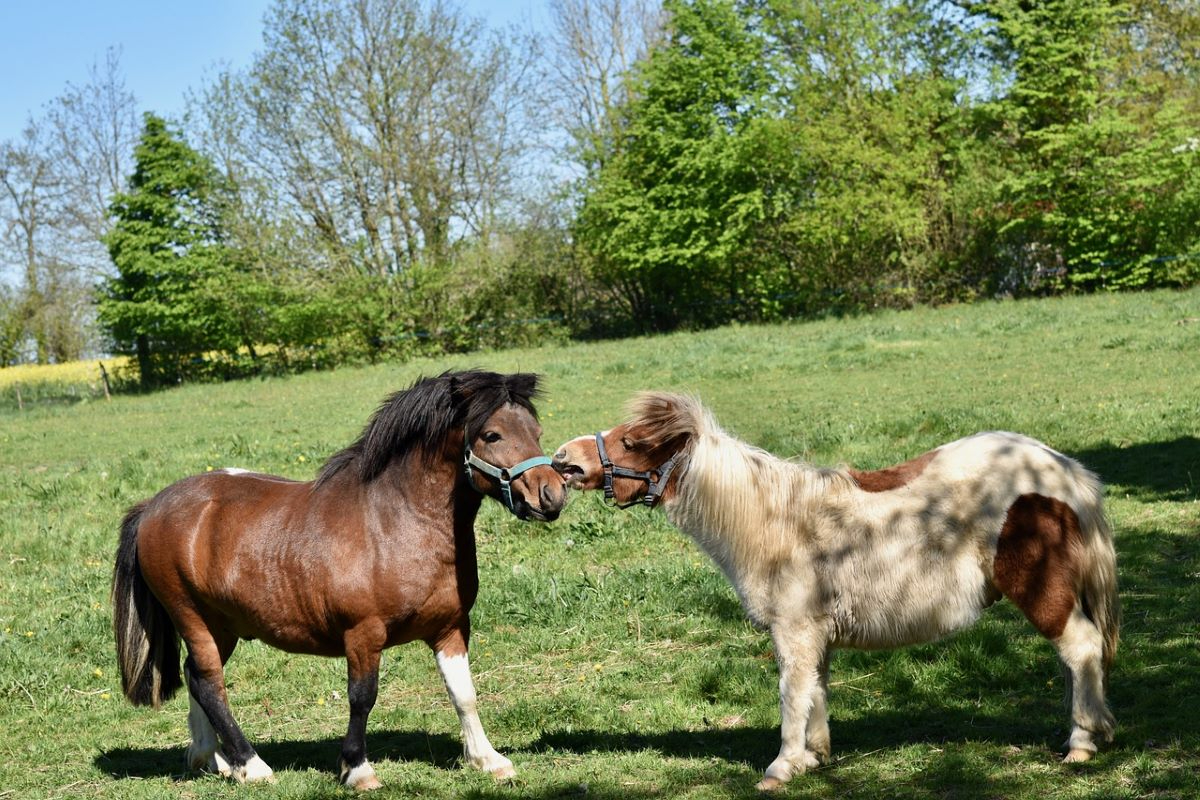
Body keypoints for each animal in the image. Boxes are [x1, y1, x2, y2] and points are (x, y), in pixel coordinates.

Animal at [112, 370, 567, 790]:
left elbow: (464, 693)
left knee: (196, 678)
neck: (395, 522)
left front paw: (487, 760)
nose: (552, 495)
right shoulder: (363, 634)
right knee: (209, 685)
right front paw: (357, 769)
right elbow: (362, 698)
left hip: (222, 627)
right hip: (192, 618)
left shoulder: (451, 628)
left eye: (536, 431)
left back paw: (211, 759)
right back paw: (251, 766)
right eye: (492, 434)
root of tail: (154, 505)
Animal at [552, 392, 1119, 791]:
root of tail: (1063, 470)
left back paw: (1082, 743)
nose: (563, 460)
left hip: (1041, 592)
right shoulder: (814, 636)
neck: (774, 521)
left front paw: (782, 768)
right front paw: (814, 758)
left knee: (1081, 650)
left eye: (632, 442)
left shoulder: (794, 631)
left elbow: (790, 694)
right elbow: (815, 692)